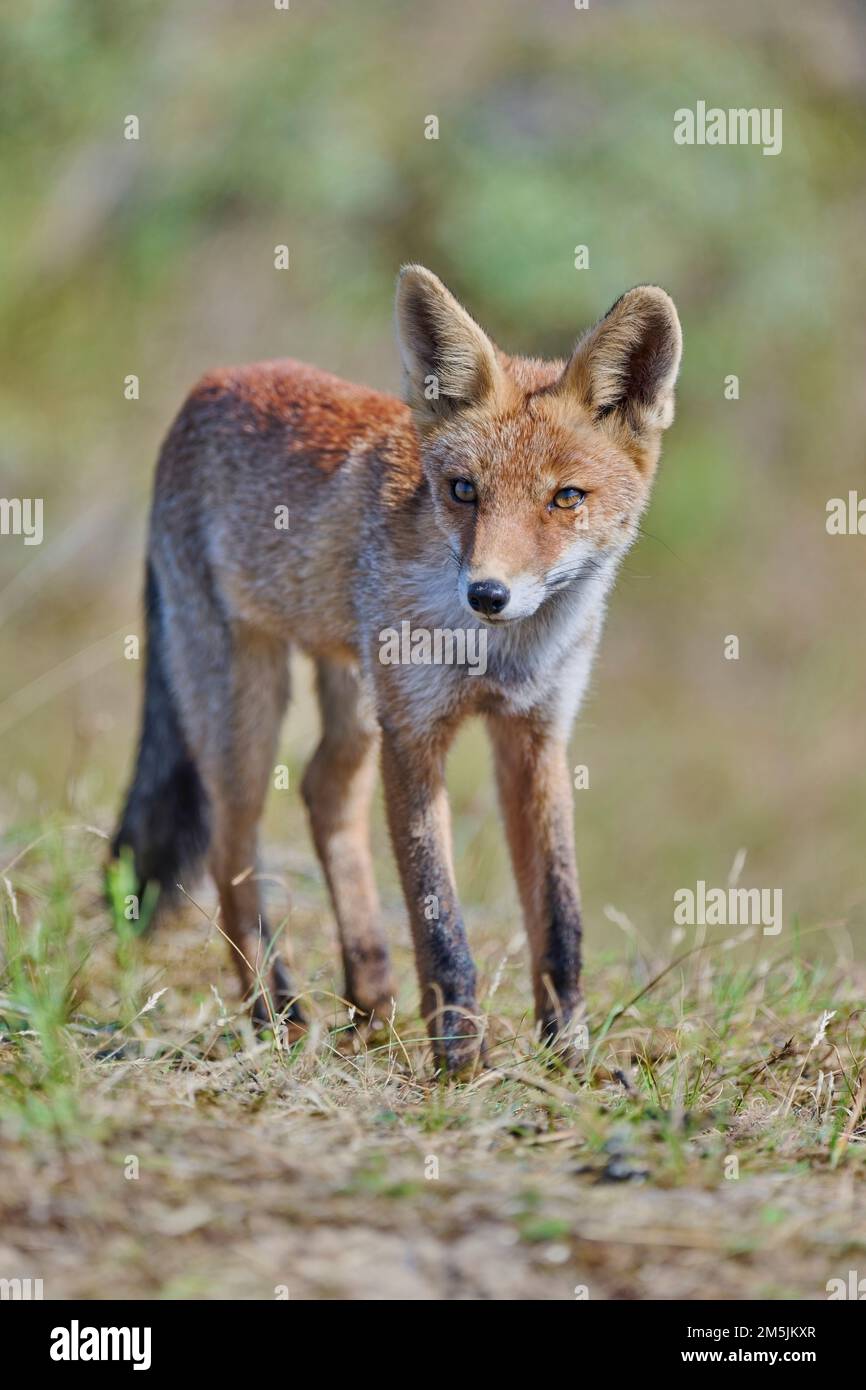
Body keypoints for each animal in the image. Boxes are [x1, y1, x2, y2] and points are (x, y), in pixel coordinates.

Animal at [112, 265, 682, 1074]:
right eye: (464, 490)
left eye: (566, 498)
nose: (488, 593)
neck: (494, 655)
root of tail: (213, 381)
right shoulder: (415, 733)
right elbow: (439, 918)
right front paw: (460, 1060)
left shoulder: (536, 734)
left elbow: (559, 918)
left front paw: (567, 1055)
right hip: (247, 703)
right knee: (231, 854)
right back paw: (278, 1013)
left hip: (353, 697)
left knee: (323, 791)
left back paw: (370, 994)